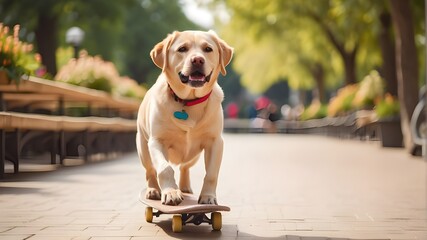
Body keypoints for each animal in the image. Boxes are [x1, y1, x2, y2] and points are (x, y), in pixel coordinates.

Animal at [137, 31, 234, 205]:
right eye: (182, 49)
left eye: (208, 49)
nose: (197, 60)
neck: (188, 101)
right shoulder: (157, 141)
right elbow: (165, 169)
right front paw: (170, 193)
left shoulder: (215, 142)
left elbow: (211, 173)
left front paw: (208, 197)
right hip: (143, 148)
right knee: (150, 171)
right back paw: (153, 190)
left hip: (194, 155)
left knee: (184, 167)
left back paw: (185, 188)